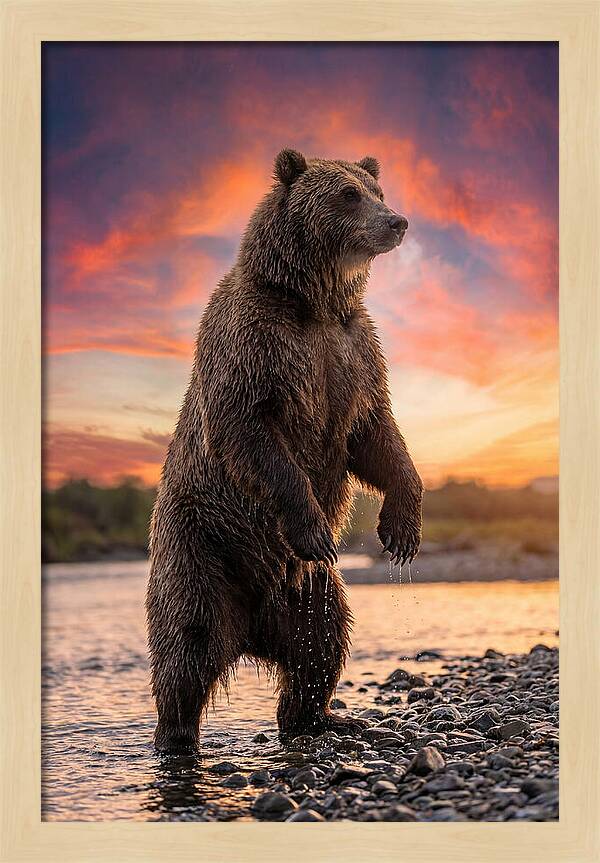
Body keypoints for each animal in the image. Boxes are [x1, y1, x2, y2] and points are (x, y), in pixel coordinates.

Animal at [146, 149, 423, 753]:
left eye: (377, 189)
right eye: (347, 194)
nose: (397, 222)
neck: (314, 302)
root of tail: (251, 629)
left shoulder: (354, 352)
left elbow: (376, 435)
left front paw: (401, 530)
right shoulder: (257, 344)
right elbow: (251, 431)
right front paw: (316, 527)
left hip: (308, 591)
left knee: (322, 641)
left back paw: (323, 717)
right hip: (202, 547)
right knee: (187, 644)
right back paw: (176, 736)